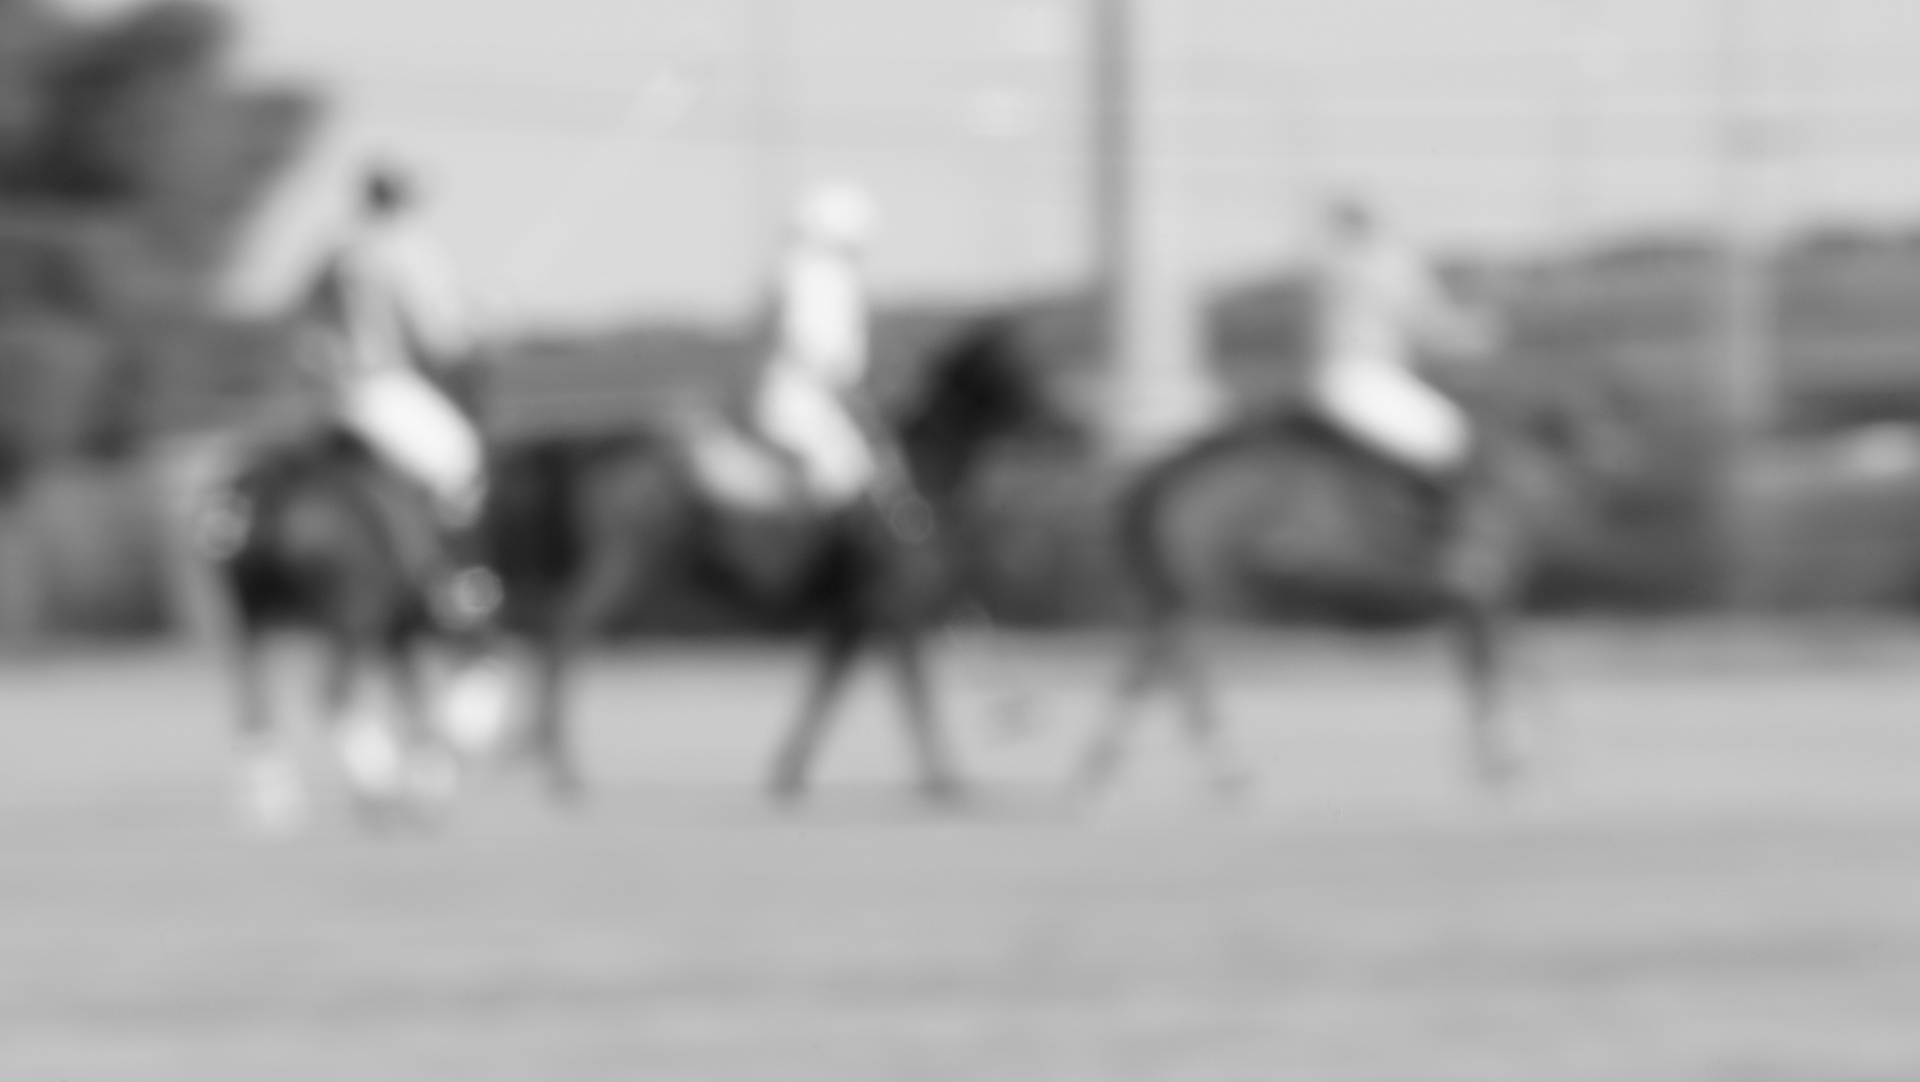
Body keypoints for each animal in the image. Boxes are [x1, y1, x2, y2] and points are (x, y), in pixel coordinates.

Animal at [488, 317, 1064, 804]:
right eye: (1025, 372)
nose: (1075, 425)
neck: (913, 477)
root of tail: (593, 445)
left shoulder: (855, 613)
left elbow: (827, 687)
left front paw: (788, 774)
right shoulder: (893, 606)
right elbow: (913, 695)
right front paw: (945, 780)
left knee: (559, 636)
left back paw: (545, 756)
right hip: (628, 571)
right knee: (567, 636)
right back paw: (561, 767)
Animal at [1076, 376, 1637, 799]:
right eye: (1600, 415)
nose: (1625, 459)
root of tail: (1168, 472)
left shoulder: (1481, 593)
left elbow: (1514, 665)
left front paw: (1530, 754)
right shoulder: (1476, 589)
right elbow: (1496, 669)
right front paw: (1506, 757)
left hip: (1184, 589)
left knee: (1153, 660)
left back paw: (1110, 772)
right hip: (1209, 584)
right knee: (1172, 660)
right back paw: (1213, 770)